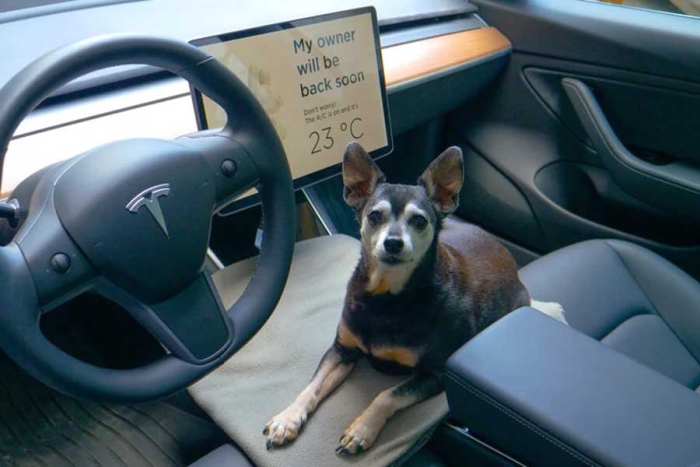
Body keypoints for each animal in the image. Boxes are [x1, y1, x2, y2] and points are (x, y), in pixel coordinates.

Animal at [262, 144, 564, 458]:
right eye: (374, 216)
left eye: (419, 220)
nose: (393, 243)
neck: (385, 296)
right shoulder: (342, 350)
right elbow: (312, 386)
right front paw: (287, 418)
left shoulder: (437, 372)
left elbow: (387, 395)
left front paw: (362, 429)